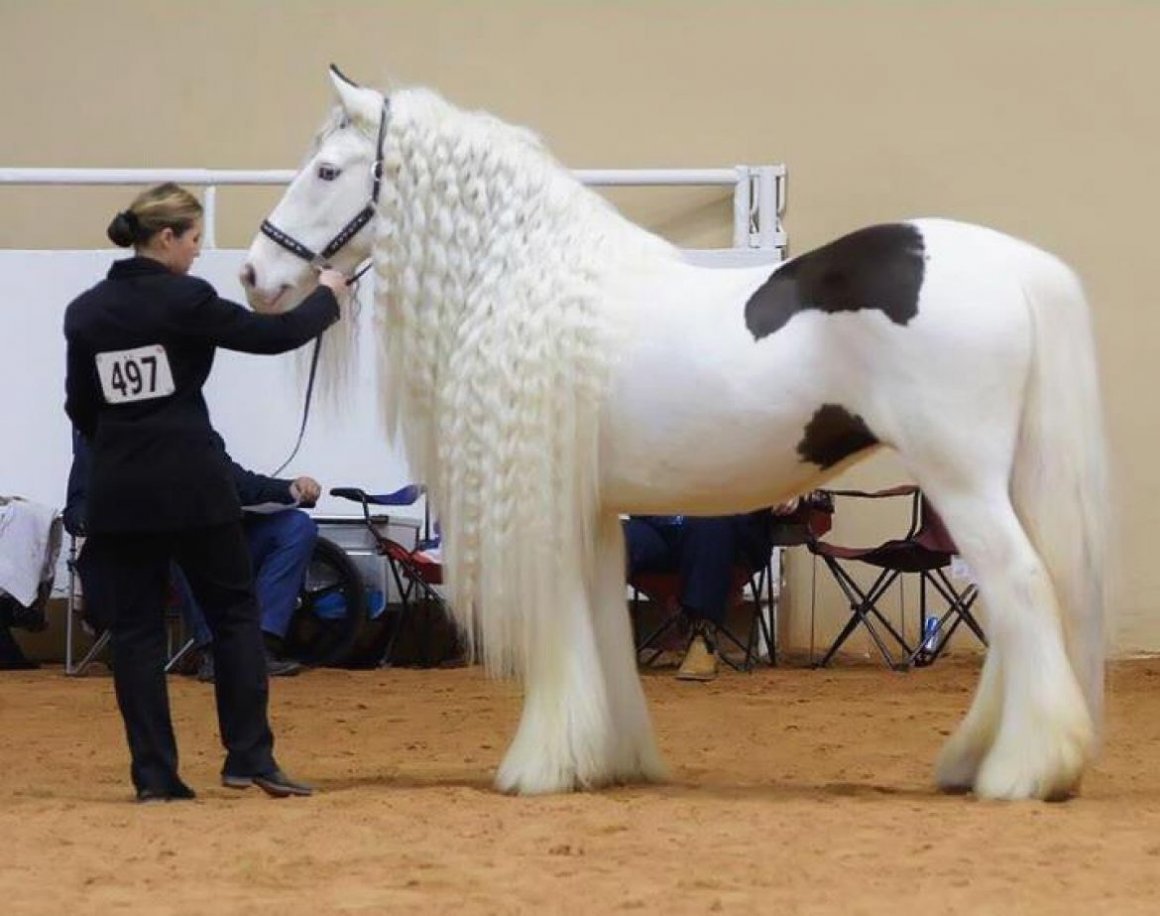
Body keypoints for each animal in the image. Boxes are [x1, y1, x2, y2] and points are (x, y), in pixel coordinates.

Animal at [241, 66, 1109, 801]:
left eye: (327, 172)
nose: (254, 276)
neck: (525, 271)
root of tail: (1014, 264)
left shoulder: (544, 504)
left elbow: (563, 631)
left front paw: (540, 767)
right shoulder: (595, 509)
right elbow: (600, 624)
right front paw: (607, 757)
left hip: (961, 481)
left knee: (1022, 589)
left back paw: (1024, 770)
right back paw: (979, 758)